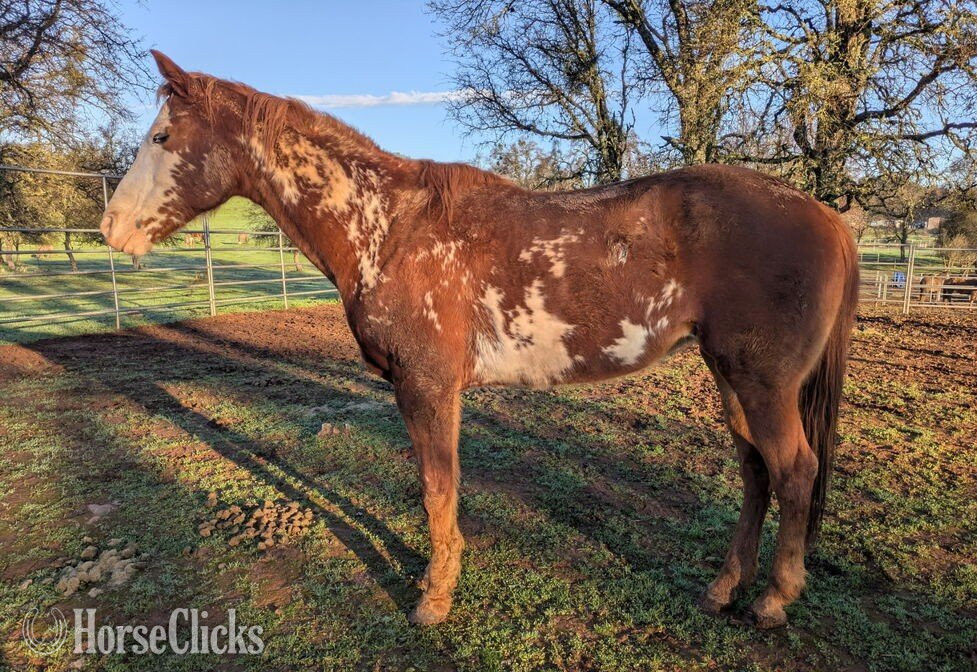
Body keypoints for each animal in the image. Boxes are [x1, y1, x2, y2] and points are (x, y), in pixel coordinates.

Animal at [100, 51, 859, 629]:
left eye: (161, 139)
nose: (111, 229)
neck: (389, 228)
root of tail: (825, 216)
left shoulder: (427, 387)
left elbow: (438, 489)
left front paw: (433, 598)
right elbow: (439, 489)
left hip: (762, 383)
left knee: (794, 471)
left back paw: (772, 601)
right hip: (732, 377)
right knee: (756, 471)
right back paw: (724, 588)